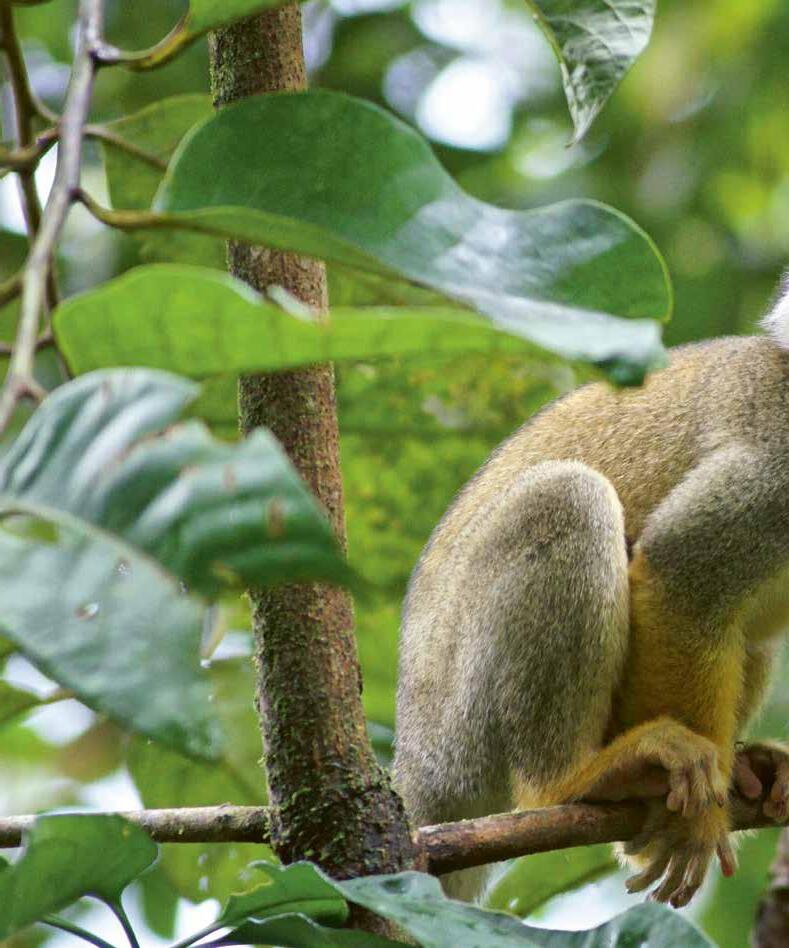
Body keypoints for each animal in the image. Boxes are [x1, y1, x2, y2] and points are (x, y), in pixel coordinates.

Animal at [394, 280, 789, 908]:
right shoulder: (778, 463)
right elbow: (680, 576)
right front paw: (689, 822)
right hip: (459, 715)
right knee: (567, 498)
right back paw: (576, 781)